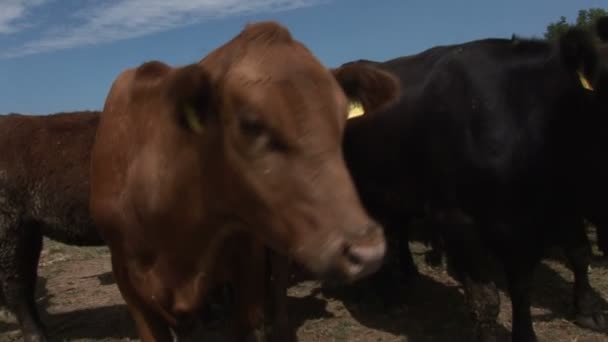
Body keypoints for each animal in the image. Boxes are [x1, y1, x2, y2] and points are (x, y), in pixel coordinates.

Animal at [342, 22, 608, 342]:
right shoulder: (458, 219)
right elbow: (486, 299)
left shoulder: (550, 210)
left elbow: (551, 270)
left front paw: (587, 310)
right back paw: (376, 294)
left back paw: (404, 277)